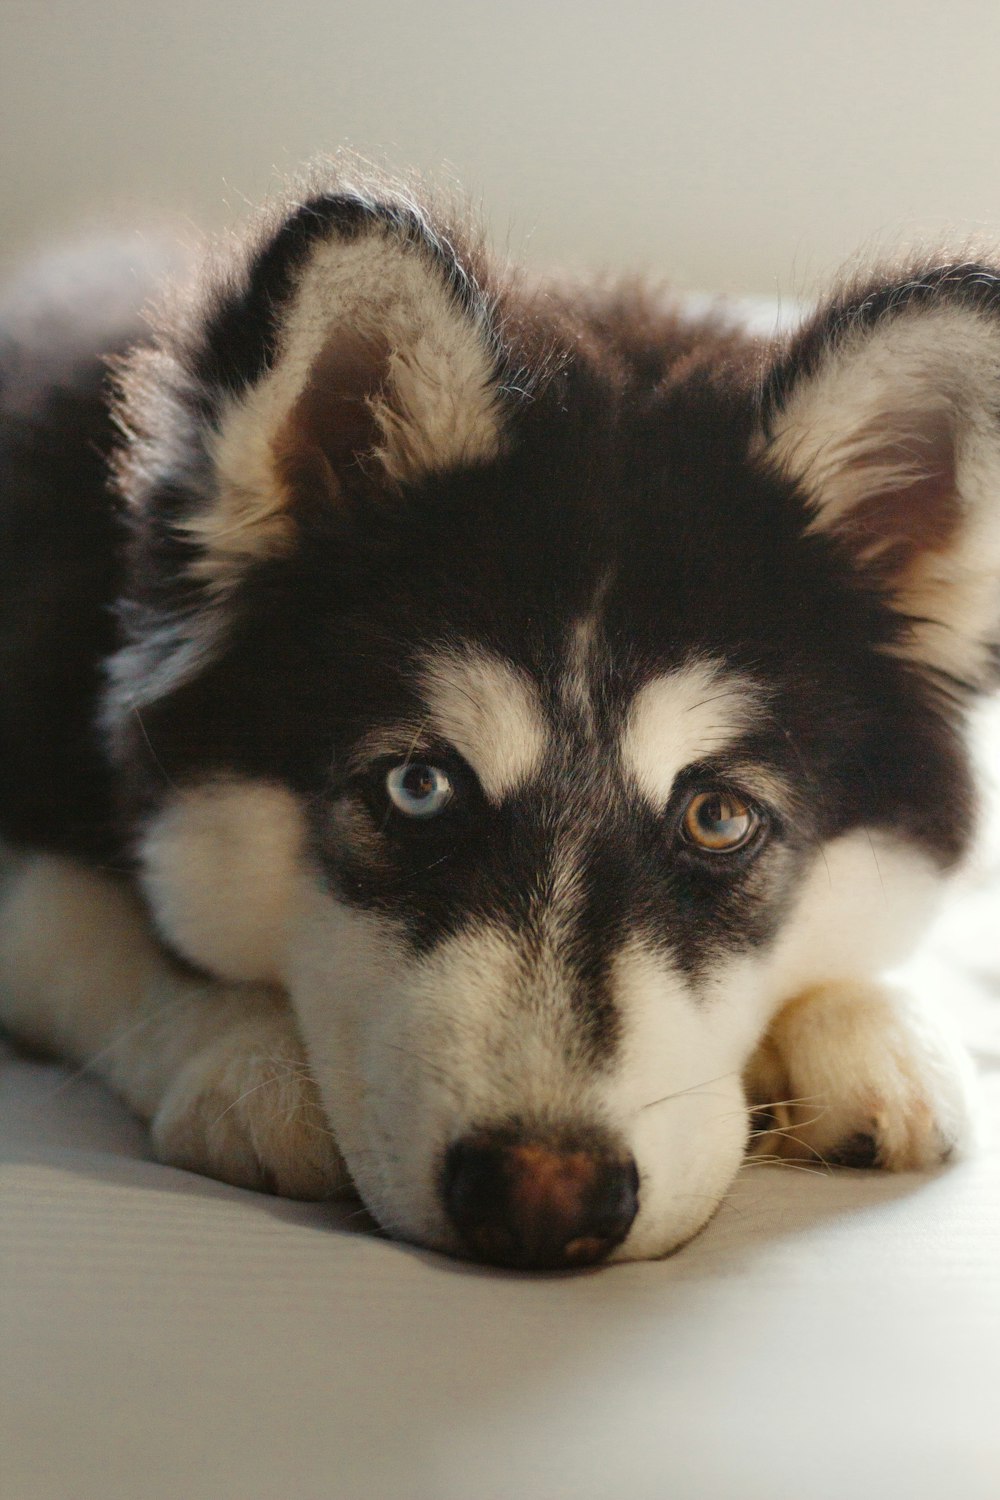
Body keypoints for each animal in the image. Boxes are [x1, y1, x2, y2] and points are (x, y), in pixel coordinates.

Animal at [0, 178, 995, 1278]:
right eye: (418, 788)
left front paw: (874, 1023)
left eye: (719, 818)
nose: (543, 1200)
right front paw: (246, 1054)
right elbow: (91, 932)